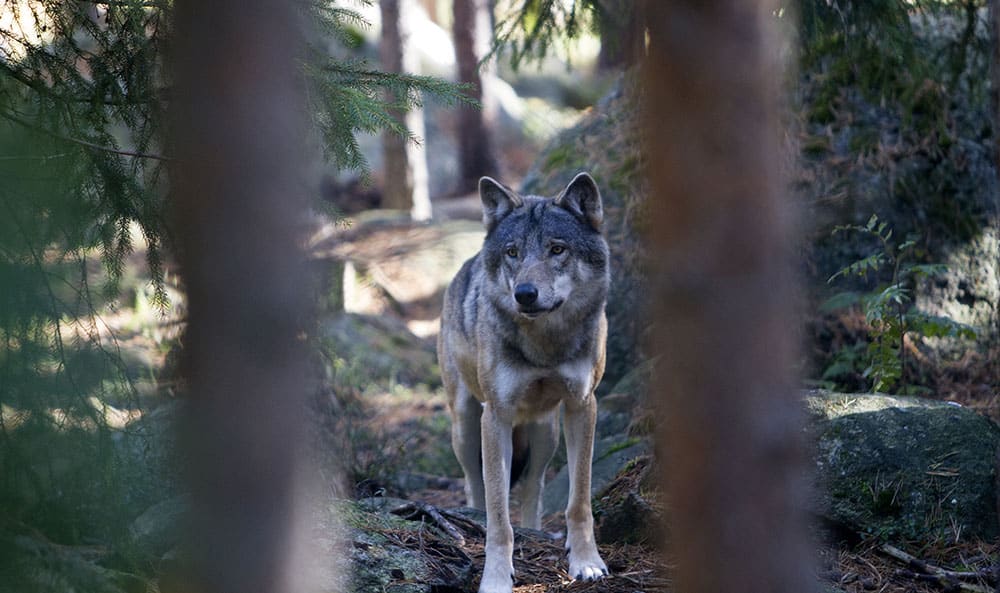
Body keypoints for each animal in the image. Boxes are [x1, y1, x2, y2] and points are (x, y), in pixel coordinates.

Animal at [438, 171, 608, 592]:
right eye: (513, 252)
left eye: (557, 249)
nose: (525, 294)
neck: (544, 344)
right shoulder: (495, 416)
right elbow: (499, 516)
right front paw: (496, 578)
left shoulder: (583, 406)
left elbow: (578, 500)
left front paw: (586, 562)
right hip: (466, 427)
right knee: (474, 486)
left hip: (546, 433)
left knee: (534, 487)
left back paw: (536, 531)